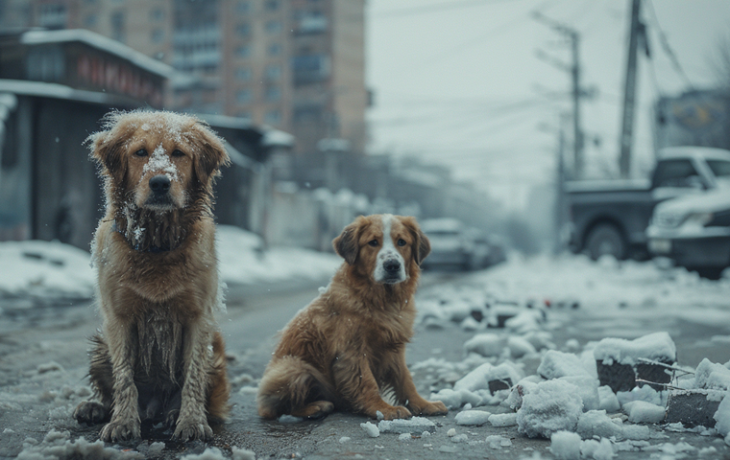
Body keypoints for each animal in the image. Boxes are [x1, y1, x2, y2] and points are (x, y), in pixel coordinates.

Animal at [72, 111, 229, 442]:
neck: (157, 243)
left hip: (216, 350)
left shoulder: (199, 318)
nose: (160, 183)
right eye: (140, 152)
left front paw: (191, 421)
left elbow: (193, 375)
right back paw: (95, 407)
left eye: (179, 153)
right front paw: (122, 422)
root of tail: (154, 407)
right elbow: (124, 378)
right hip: (100, 345)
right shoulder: (118, 319)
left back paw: (172, 414)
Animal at [256, 215, 450, 420]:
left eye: (402, 242)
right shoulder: (353, 350)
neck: (380, 302)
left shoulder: (394, 347)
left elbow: (405, 379)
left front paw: (423, 404)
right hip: (293, 367)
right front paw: (383, 409)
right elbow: (367, 381)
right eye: (373, 242)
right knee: (280, 409)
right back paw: (316, 408)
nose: (392, 265)